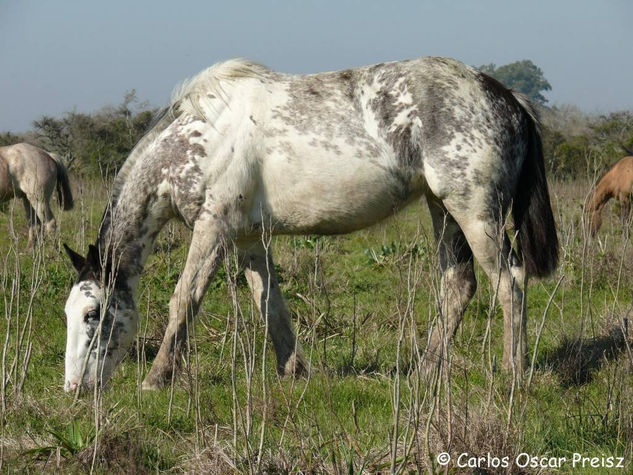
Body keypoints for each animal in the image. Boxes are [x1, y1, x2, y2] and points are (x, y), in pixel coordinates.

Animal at [61, 57, 556, 392]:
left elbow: (184, 299)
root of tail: (507, 97)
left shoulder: (213, 229)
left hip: (474, 212)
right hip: (443, 209)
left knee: (509, 281)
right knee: (458, 284)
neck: (199, 135)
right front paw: (293, 370)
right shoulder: (247, 239)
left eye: (92, 314)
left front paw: (156, 377)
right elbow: (270, 304)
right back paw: (423, 372)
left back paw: (513, 373)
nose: (74, 389)